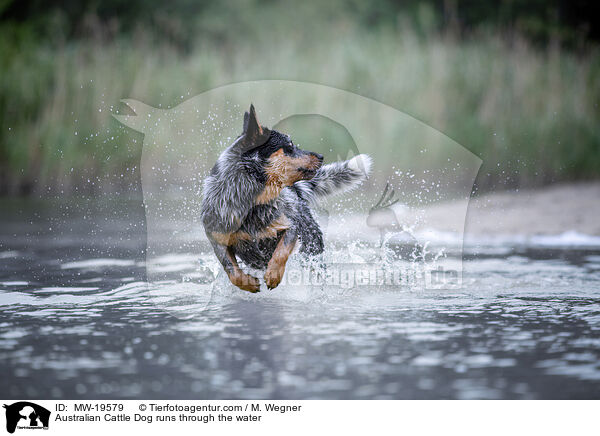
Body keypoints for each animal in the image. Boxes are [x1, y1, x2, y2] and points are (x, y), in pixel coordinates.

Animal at [202, 104, 370, 292]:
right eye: (289, 145)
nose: (321, 156)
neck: (251, 203)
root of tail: (295, 190)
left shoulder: (291, 226)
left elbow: (280, 252)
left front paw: (273, 275)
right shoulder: (217, 240)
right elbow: (231, 270)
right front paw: (248, 283)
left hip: (312, 248)